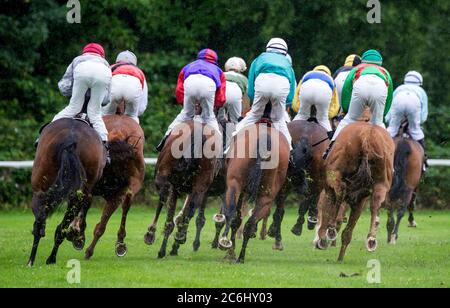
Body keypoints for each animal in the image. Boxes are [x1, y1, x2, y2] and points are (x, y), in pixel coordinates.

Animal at [27, 118, 105, 268]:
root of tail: (70, 138)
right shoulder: (84, 193)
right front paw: (78, 236)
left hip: (40, 189)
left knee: (41, 222)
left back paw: (34, 260)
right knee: (60, 228)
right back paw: (50, 257)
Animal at [83, 114, 148, 258]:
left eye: (129, 162)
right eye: (111, 162)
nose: (123, 182)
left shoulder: (116, 196)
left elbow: (101, 226)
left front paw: (89, 250)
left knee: (126, 205)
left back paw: (120, 243)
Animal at [143, 120, 221, 258]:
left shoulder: (170, 184)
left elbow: (165, 208)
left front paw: (152, 235)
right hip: (200, 186)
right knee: (191, 209)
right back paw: (180, 236)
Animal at [219, 114, 290, 264]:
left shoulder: (241, 191)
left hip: (236, 185)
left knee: (234, 216)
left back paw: (228, 247)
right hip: (264, 195)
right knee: (249, 222)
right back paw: (239, 256)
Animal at [314, 121, 396, 262]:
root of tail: (367, 136)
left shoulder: (330, 188)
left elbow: (327, 209)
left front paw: (323, 239)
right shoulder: (360, 201)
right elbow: (347, 232)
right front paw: (340, 257)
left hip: (335, 173)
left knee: (340, 191)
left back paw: (331, 230)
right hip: (382, 183)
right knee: (376, 204)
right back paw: (371, 239)